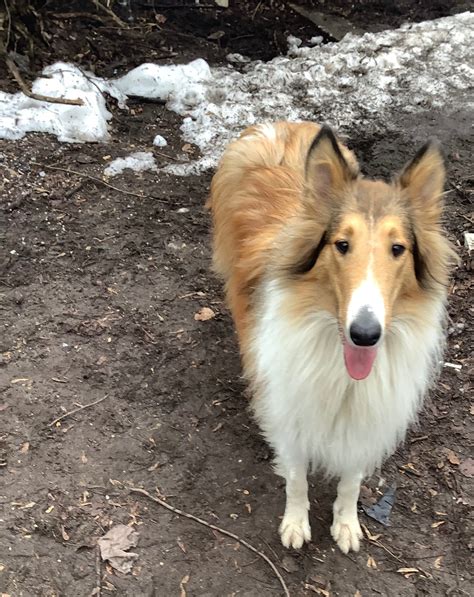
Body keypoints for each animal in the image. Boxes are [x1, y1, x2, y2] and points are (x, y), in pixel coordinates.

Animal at [208, 122, 456, 556]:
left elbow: (351, 481)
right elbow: (296, 478)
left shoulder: (366, 419)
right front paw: (295, 524)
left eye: (398, 248)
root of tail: (279, 126)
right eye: (342, 244)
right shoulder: (289, 412)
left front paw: (346, 524)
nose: (365, 334)